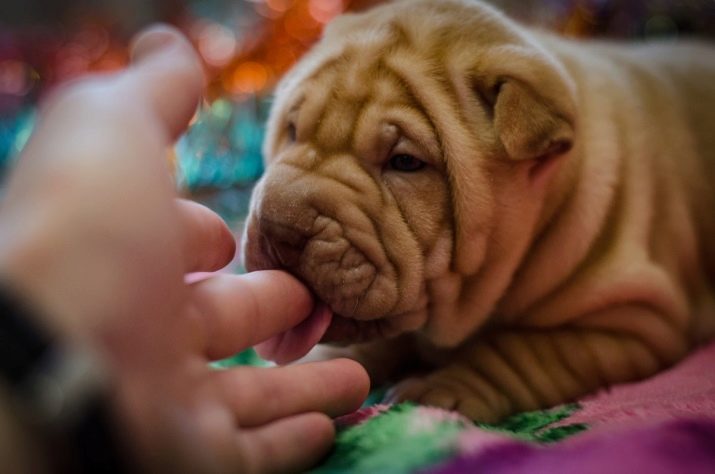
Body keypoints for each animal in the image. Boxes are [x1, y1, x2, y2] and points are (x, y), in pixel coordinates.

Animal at [242, 0, 715, 422]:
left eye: (405, 162)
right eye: (292, 130)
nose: (279, 226)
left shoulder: (631, 320)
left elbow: (522, 351)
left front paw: (443, 388)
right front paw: (311, 364)